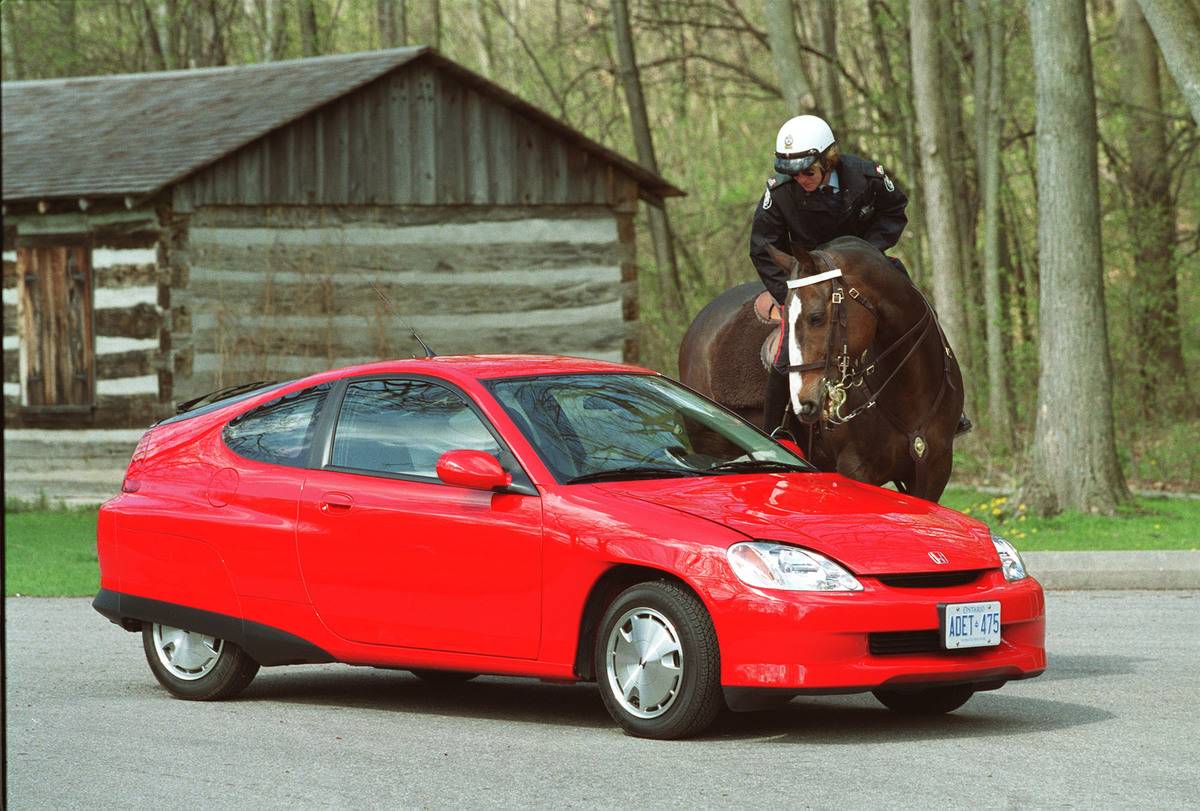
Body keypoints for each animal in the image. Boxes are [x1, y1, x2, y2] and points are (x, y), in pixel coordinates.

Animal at [676, 233, 964, 501]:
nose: (804, 403)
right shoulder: (856, 468)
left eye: (816, 317)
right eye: (786, 314)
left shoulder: (935, 470)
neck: (909, 390)